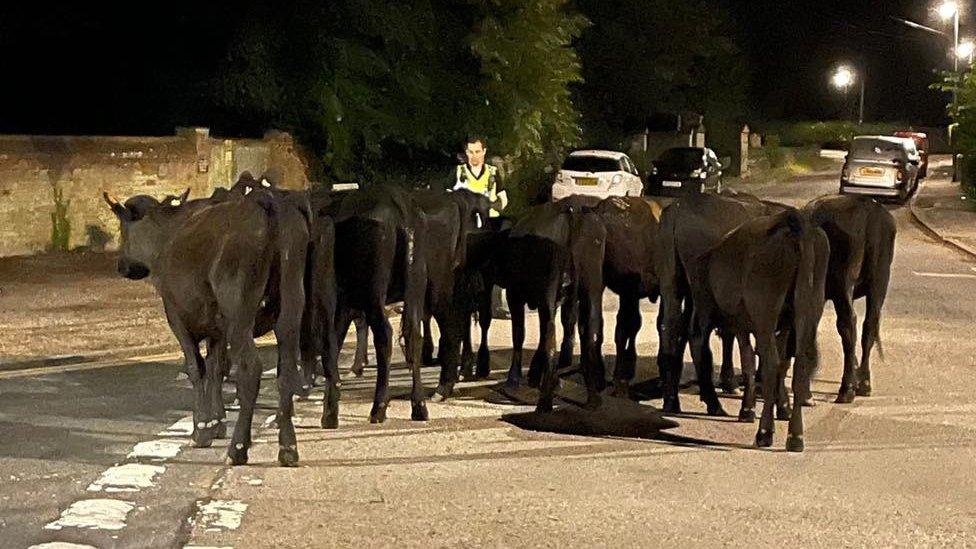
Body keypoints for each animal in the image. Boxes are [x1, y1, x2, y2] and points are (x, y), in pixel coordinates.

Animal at [103, 186, 310, 464]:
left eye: (122, 229)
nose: (121, 265)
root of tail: (266, 202)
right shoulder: (217, 328)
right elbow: (215, 368)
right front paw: (217, 423)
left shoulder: (176, 316)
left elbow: (196, 368)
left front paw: (201, 429)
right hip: (290, 304)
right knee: (286, 368)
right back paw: (287, 448)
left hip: (239, 310)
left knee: (250, 368)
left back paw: (238, 448)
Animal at [688, 210, 832, 450]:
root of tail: (794, 225)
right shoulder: (781, 327)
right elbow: (780, 363)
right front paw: (782, 408)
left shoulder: (742, 326)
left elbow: (749, 362)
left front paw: (747, 409)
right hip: (808, 311)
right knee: (797, 364)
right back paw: (795, 436)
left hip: (766, 315)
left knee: (771, 364)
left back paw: (765, 432)